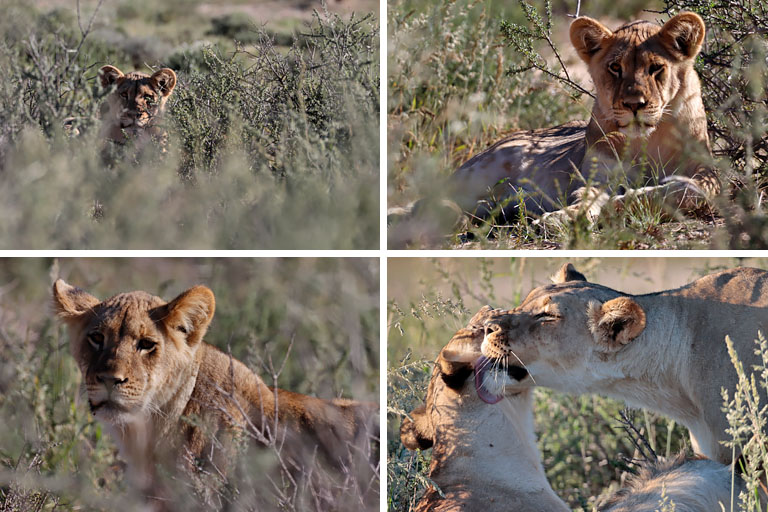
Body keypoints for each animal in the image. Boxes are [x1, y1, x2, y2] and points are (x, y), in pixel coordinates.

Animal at [389, 13, 716, 245]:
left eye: (656, 68)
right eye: (615, 67)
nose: (634, 104)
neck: (645, 140)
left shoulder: (709, 173)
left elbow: (690, 191)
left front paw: (624, 201)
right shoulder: (597, 175)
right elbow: (585, 199)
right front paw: (560, 219)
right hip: (478, 174)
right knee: (426, 202)